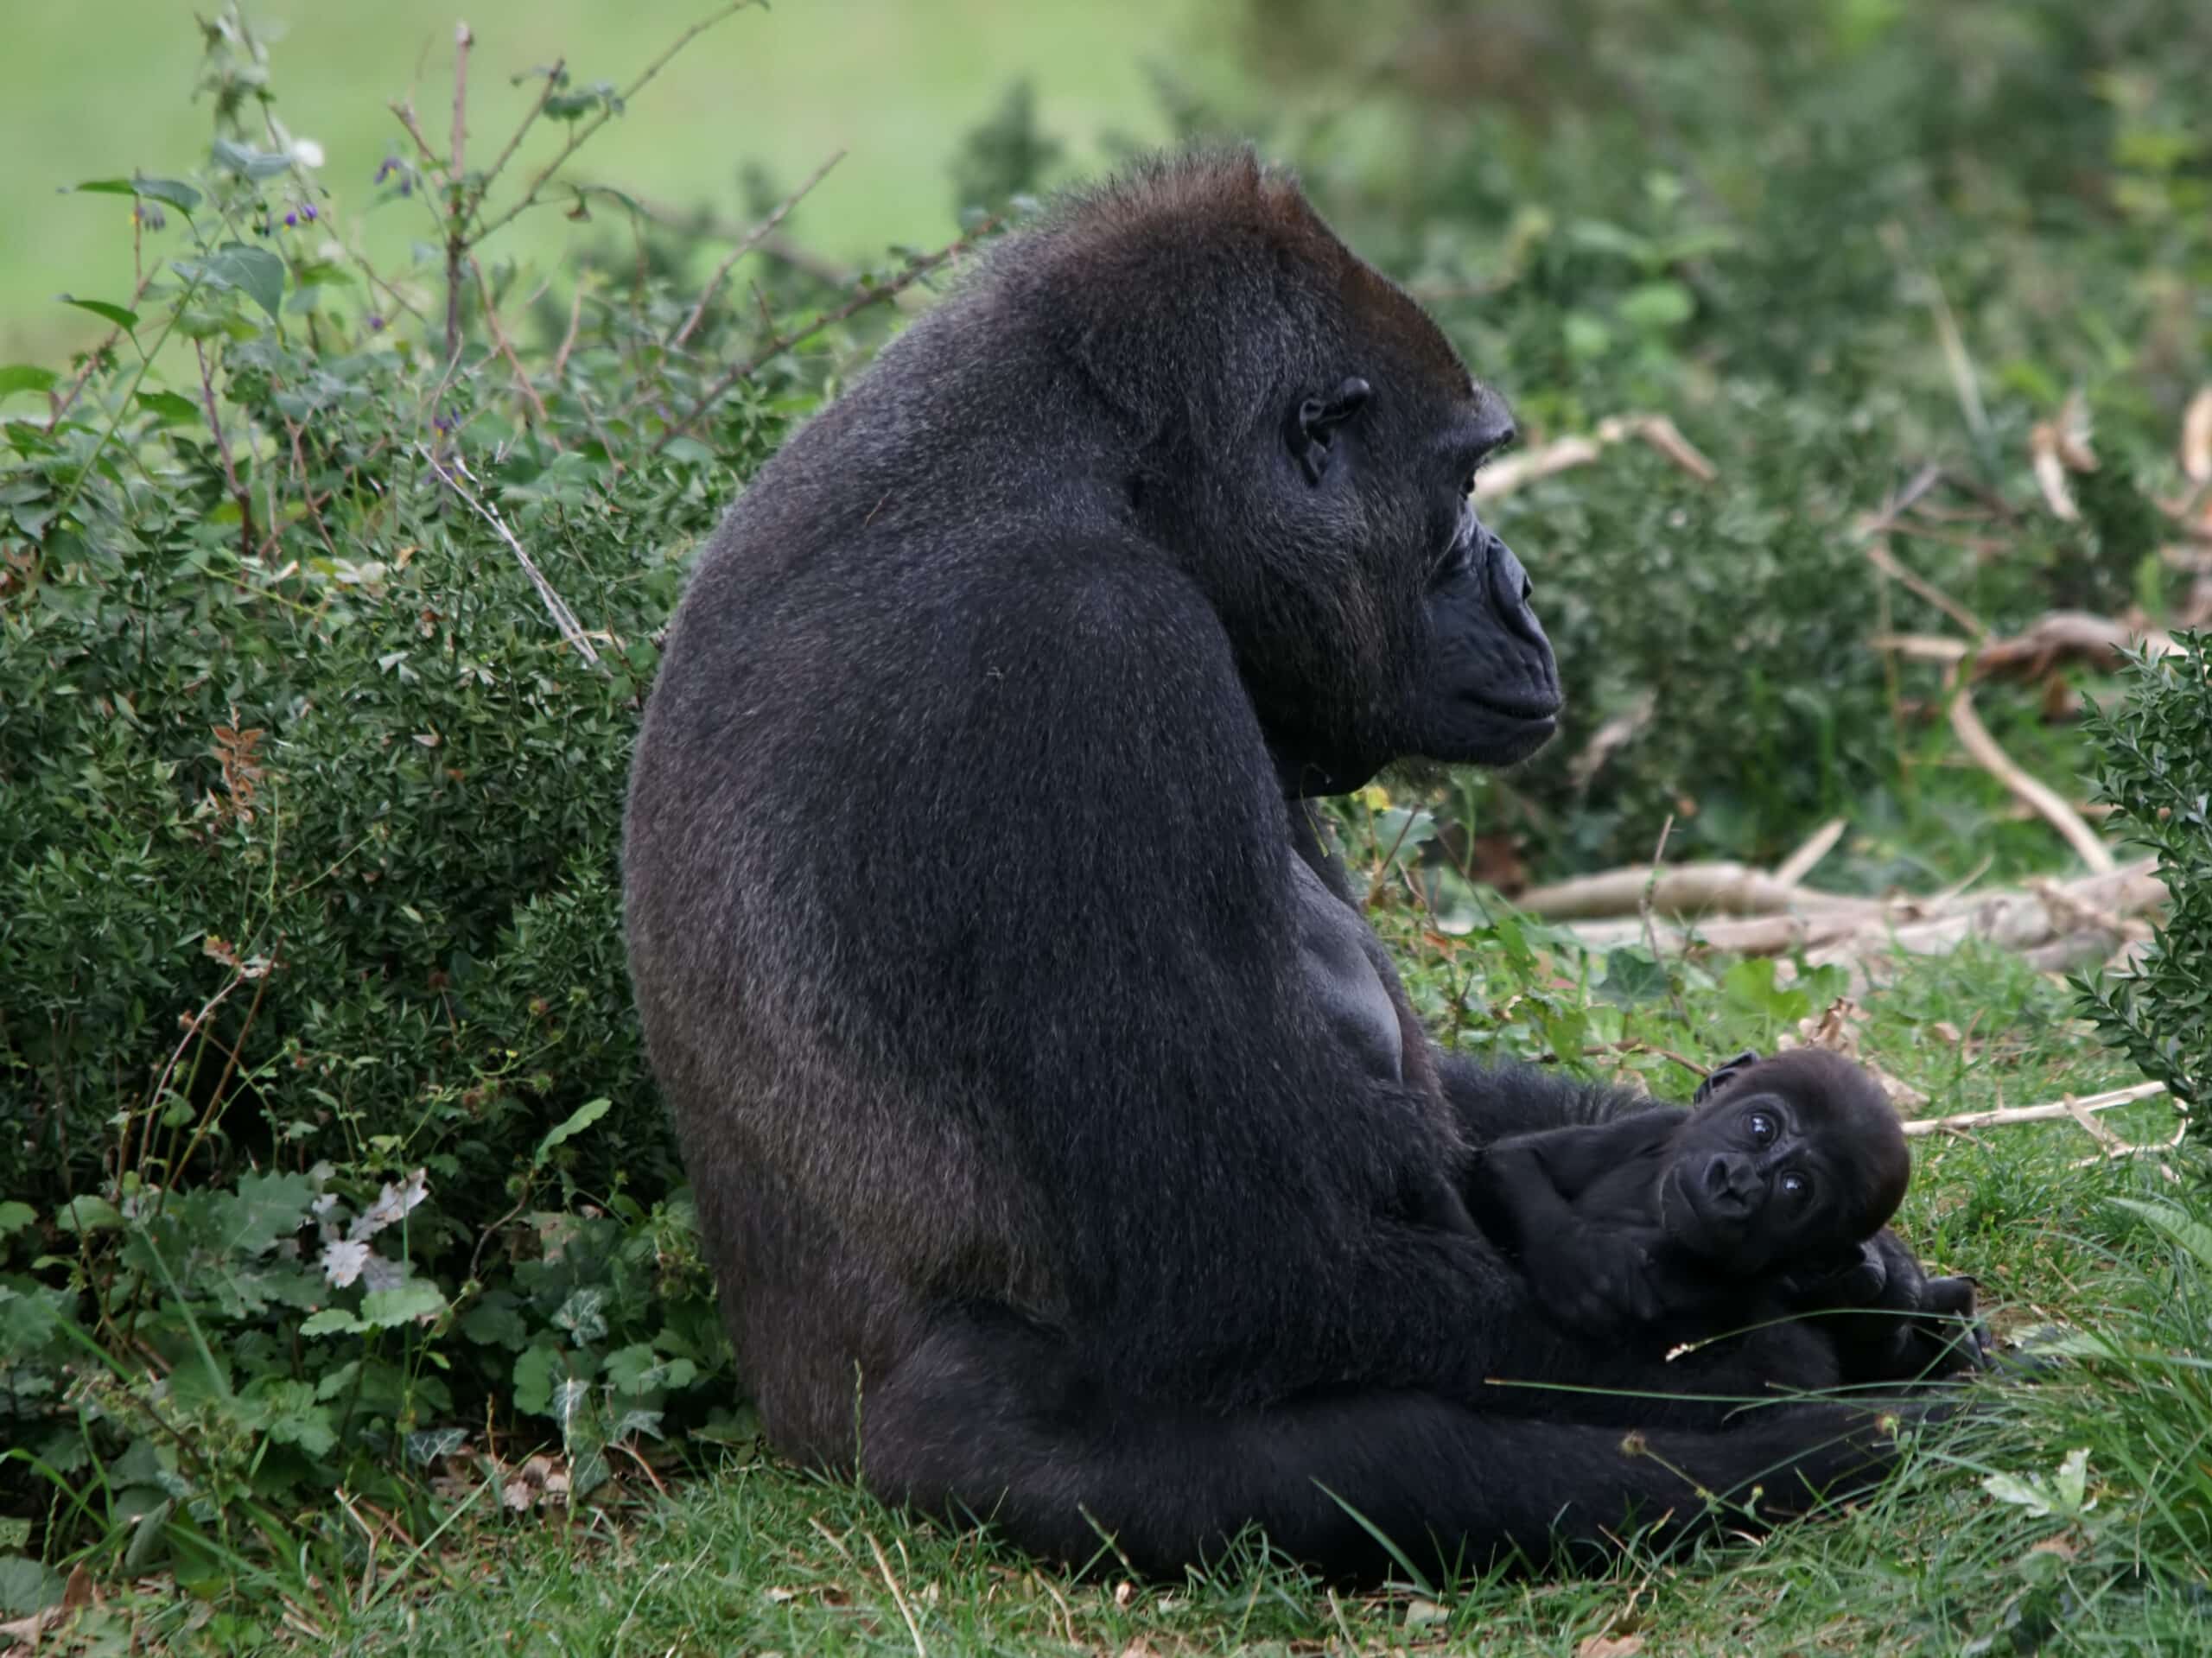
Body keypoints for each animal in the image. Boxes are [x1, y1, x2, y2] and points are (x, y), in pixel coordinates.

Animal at [622, 149, 1984, 1583]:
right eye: (1467, 486)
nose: (1521, 588)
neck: (1104, 468)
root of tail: (799, 1432)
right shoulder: (1093, 658)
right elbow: (1240, 1270)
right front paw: (1792, 1332)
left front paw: (1871, 1267)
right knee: (1388, 1460)